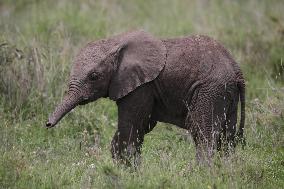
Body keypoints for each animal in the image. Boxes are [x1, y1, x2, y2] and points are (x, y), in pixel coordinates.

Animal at [45, 30, 245, 165]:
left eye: (94, 76)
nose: (48, 124)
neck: (115, 42)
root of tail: (237, 69)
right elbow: (142, 126)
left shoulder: (141, 87)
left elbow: (131, 127)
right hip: (226, 93)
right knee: (226, 137)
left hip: (210, 90)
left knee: (202, 132)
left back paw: (201, 172)